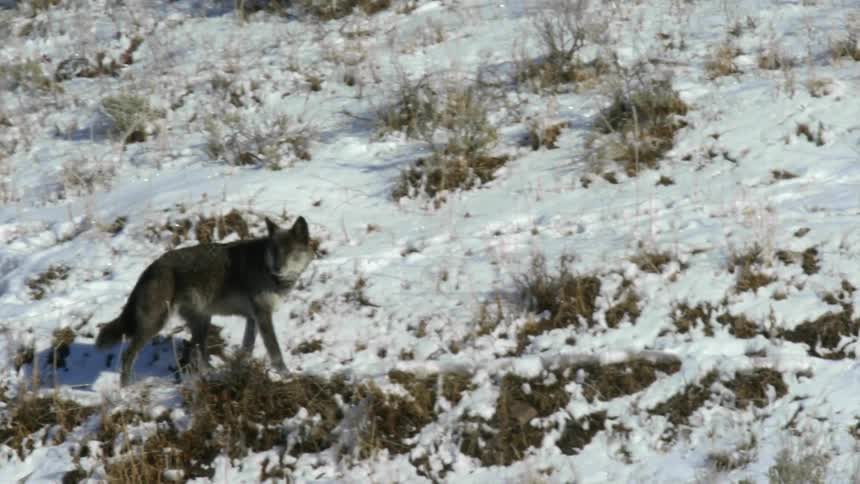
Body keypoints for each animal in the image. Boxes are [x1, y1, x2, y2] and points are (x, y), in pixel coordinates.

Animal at [95, 216, 314, 386]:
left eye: (289, 252)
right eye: (274, 251)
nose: (277, 268)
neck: (267, 272)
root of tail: (150, 268)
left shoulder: (252, 319)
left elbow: (247, 348)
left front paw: (242, 369)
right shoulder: (263, 316)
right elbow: (275, 351)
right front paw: (287, 375)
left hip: (202, 321)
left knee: (195, 354)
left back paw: (209, 375)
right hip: (156, 324)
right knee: (128, 355)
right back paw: (126, 389)